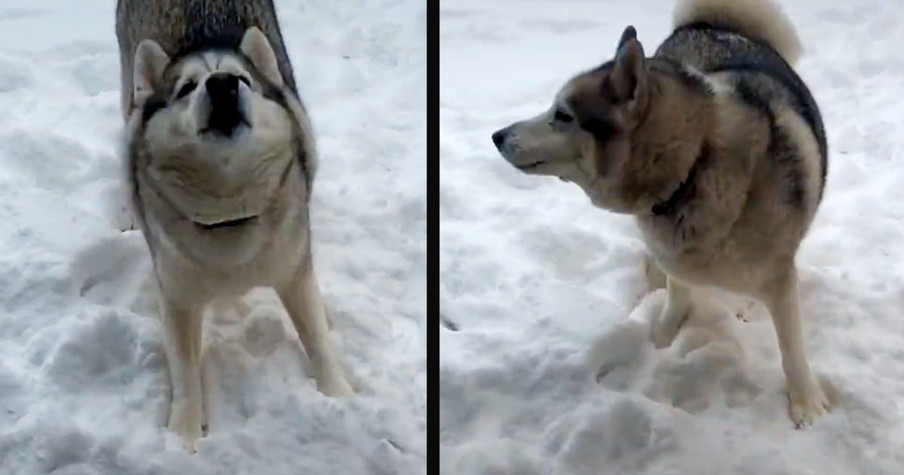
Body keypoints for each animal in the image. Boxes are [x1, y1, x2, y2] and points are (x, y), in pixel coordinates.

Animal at [114, 0, 354, 452]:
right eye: (186, 87)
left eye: (241, 79)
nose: (222, 84)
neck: (227, 212)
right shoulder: (176, 293)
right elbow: (185, 371)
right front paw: (184, 437)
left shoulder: (295, 269)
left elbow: (316, 337)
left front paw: (341, 396)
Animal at [490, 0, 828, 428]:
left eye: (563, 115)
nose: (497, 136)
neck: (692, 171)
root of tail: (707, 24)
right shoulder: (675, 255)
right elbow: (677, 298)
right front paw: (661, 343)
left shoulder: (779, 281)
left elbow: (791, 347)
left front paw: (806, 403)